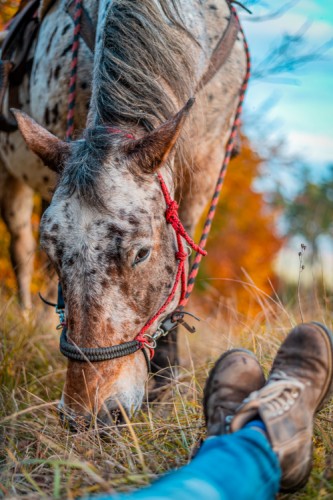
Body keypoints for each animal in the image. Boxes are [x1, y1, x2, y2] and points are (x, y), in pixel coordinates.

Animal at [0, 0, 244, 426]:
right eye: (56, 253)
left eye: (142, 253)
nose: (88, 416)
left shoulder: (206, 165)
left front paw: (163, 386)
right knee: (20, 249)